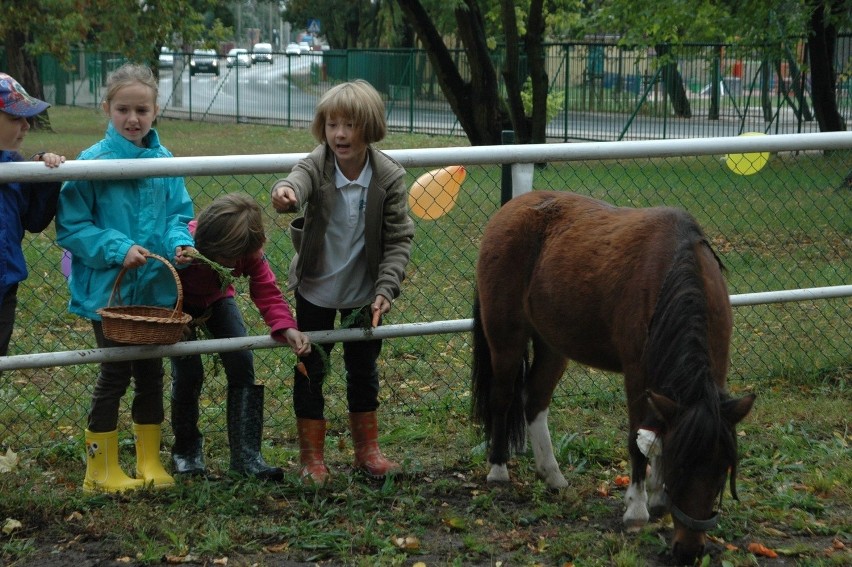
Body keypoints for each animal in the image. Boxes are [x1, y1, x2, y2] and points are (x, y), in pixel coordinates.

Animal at [470, 192, 756, 564]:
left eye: (722, 470)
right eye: (681, 467)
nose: (689, 552)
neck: (674, 273)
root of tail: (511, 209)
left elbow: (661, 432)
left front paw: (657, 496)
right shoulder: (637, 375)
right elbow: (638, 439)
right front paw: (637, 509)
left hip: (553, 345)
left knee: (535, 400)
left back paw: (553, 475)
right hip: (506, 338)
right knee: (502, 398)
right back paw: (498, 469)